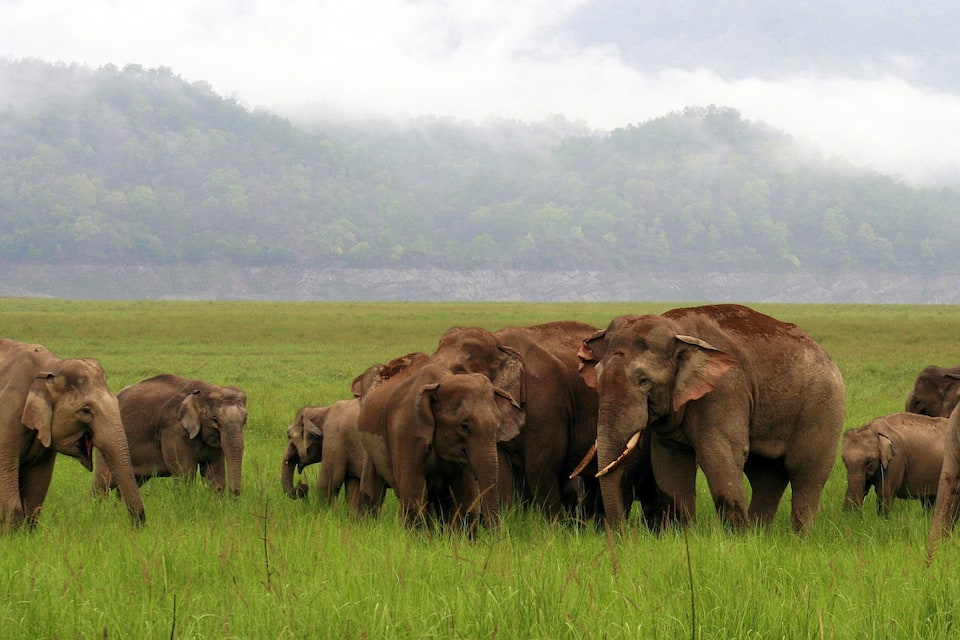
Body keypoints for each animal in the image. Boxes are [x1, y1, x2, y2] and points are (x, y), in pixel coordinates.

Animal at [0, 338, 145, 529]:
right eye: (85, 411)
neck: (50, 366)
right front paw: (13, 534)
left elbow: (37, 487)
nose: (139, 526)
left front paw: (25, 533)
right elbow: (6, 476)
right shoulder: (7, 416)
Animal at [92, 374, 247, 496]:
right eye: (215, 420)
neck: (206, 390)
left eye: (245, 419)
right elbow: (185, 475)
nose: (234, 496)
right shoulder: (175, 431)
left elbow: (214, 476)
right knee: (103, 483)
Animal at [357, 361, 522, 529]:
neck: (442, 381)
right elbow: (413, 494)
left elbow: (466, 494)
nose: (494, 534)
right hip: (369, 448)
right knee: (372, 489)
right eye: (464, 426)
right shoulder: (406, 433)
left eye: (497, 426)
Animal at [577, 304, 846, 531]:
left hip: (823, 407)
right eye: (597, 378)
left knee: (806, 471)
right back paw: (761, 535)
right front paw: (685, 535)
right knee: (766, 475)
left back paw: (799, 536)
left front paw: (738, 540)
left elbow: (718, 454)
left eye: (644, 381)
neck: (677, 330)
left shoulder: (725, 388)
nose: (623, 534)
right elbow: (670, 462)